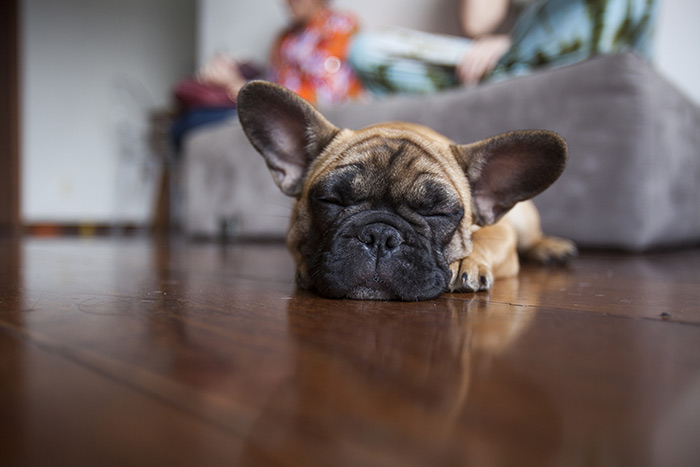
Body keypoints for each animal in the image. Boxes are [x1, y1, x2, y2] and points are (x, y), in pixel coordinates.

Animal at [238, 81, 576, 302]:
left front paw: (467, 262)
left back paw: (550, 247)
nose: (380, 235)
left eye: (438, 213)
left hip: (523, 219)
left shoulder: (502, 232)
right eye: (331, 200)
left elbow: (487, 241)